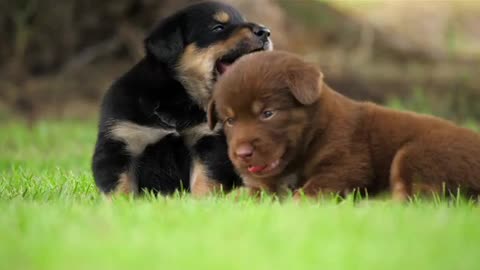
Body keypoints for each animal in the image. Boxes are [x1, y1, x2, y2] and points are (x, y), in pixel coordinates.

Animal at [93, 2, 272, 196]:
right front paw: (121, 203)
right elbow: (120, 187)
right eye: (218, 27)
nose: (266, 32)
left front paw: (203, 200)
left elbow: (204, 179)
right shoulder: (121, 141)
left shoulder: (207, 141)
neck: (177, 99)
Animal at [208, 50, 480, 199]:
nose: (242, 154)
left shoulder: (345, 165)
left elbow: (310, 191)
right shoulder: (266, 185)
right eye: (230, 120)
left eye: (268, 113)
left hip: (417, 153)